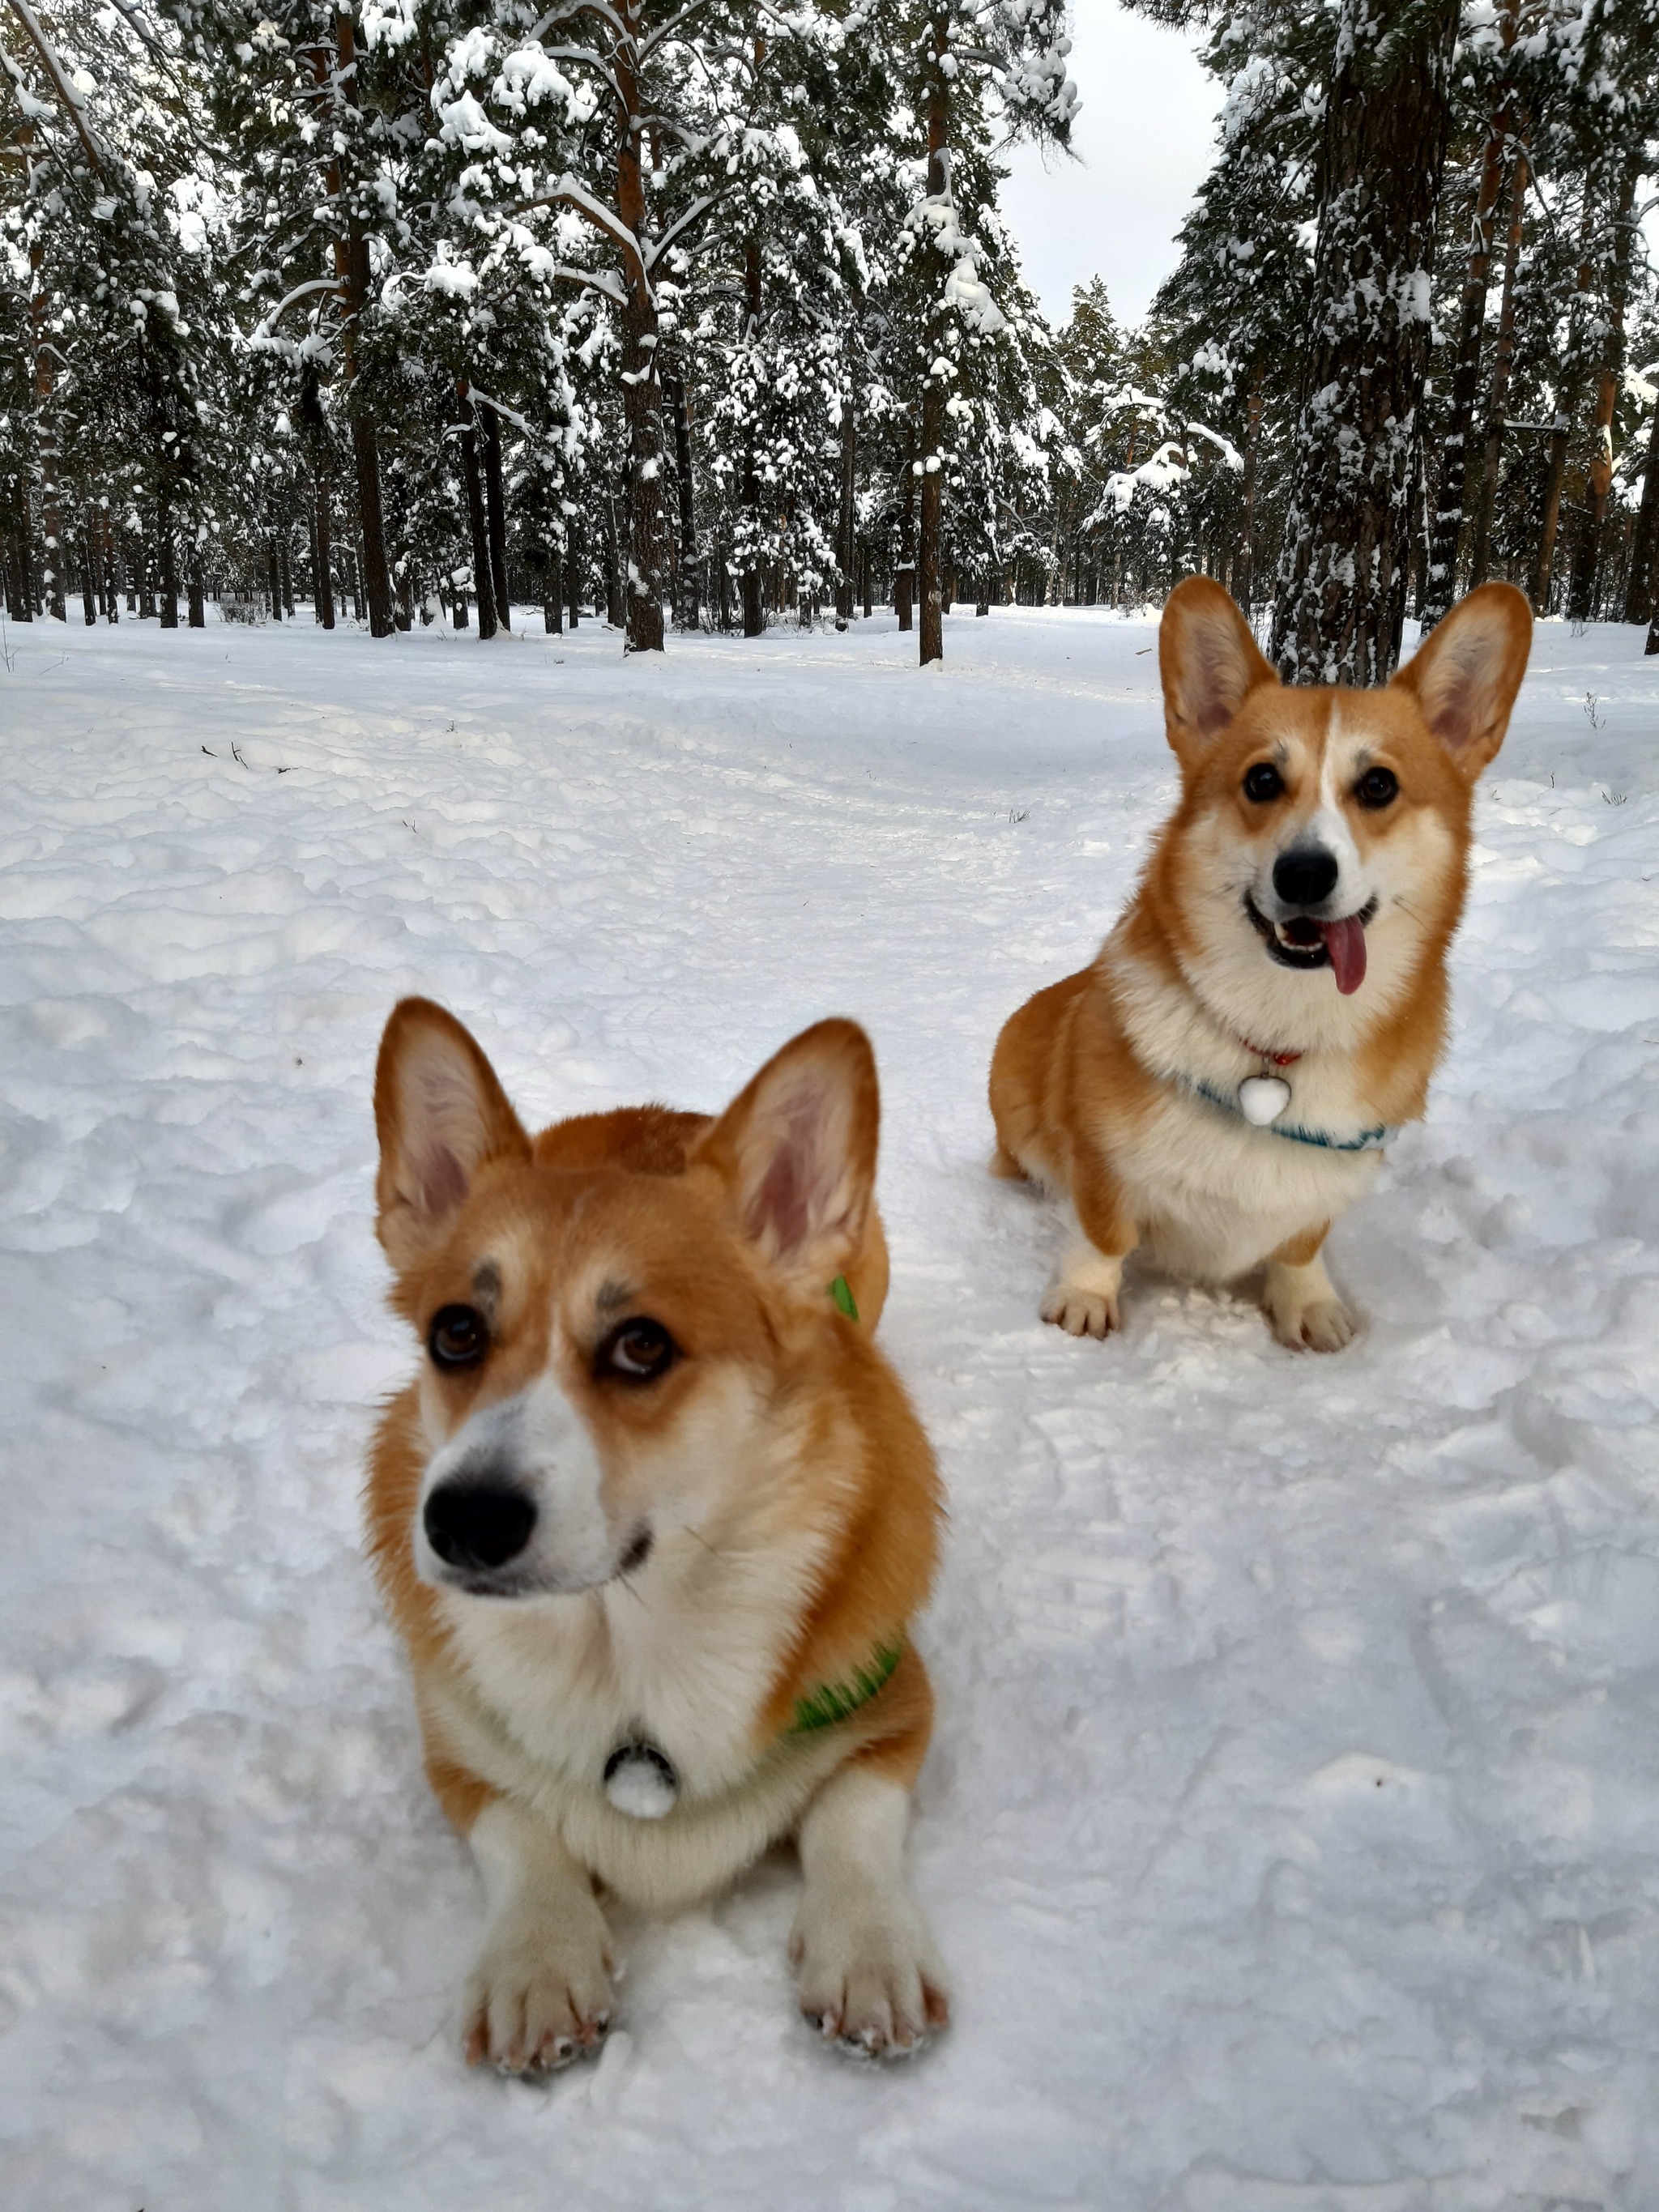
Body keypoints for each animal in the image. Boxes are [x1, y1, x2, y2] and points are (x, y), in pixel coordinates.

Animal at [371, 1004, 955, 2070]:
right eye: (455, 1333)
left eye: (641, 1344)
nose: (462, 1520)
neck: (624, 1638)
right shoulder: (454, 1745)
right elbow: (518, 1832)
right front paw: (535, 1961)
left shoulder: (894, 1704)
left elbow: (852, 1817)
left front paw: (868, 1951)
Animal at [995, 579, 1539, 1345]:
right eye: (1260, 780)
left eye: (1379, 785)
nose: (1305, 873)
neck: (1280, 1035)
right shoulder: (1102, 1160)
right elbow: (1103, 1232)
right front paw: (1084, 1298)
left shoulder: (1328, 1186)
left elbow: (1301, 1245)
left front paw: (1306, 1305)